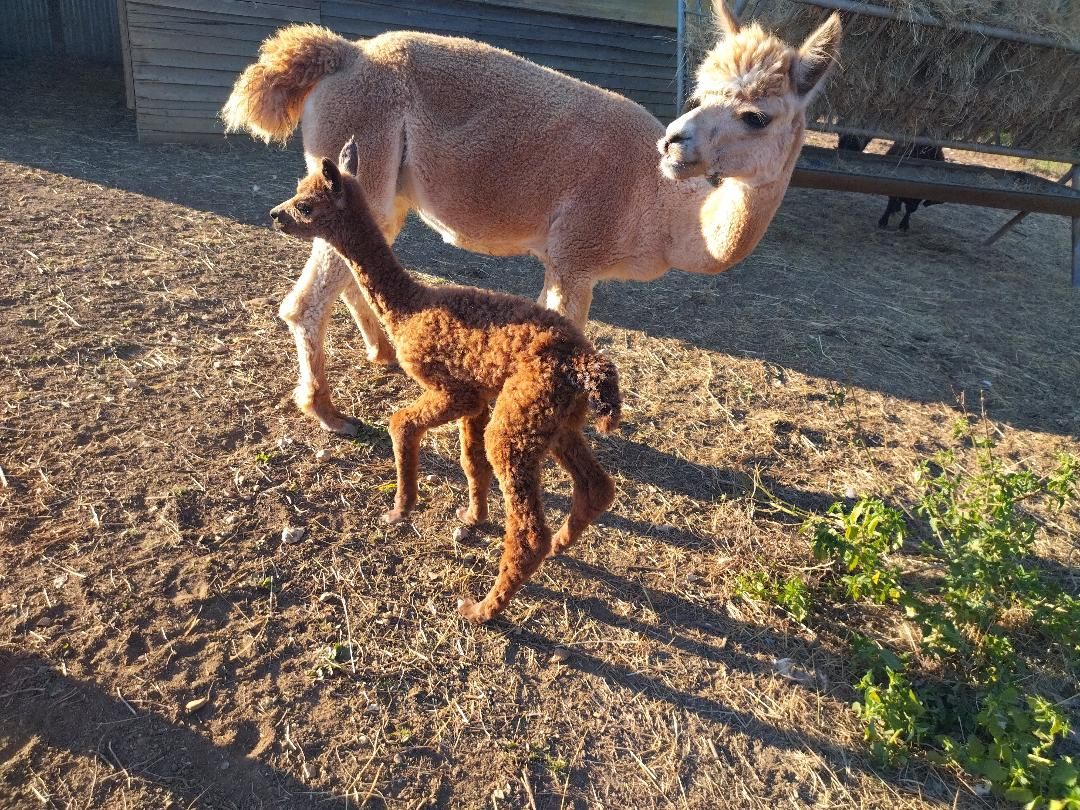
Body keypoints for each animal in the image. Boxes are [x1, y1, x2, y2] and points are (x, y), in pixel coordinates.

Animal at [222, 2, 842, 434]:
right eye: (697, 95)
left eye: (757, 116)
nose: (673, 143)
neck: (664, 211)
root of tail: (347, 52)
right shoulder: (577, 258)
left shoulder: (558, 261)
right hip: (364, 162)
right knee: (306, 301)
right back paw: (329, 414)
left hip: (375, 189)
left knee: (349, 267)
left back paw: (382, 353)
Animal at [270, 139, 621, 622]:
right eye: (295, 192)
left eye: (304, 205)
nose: (274, 214)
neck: (410, 307)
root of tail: (587, 364)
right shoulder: (477, 398)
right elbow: (469, 461)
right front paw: (472, 517)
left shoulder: (452, 389)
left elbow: (401, 424)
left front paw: (400, 510)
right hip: (555, 420)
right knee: (595, 488)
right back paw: (560, 546)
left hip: (519, 423)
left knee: (529, 531)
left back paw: (482, 609)